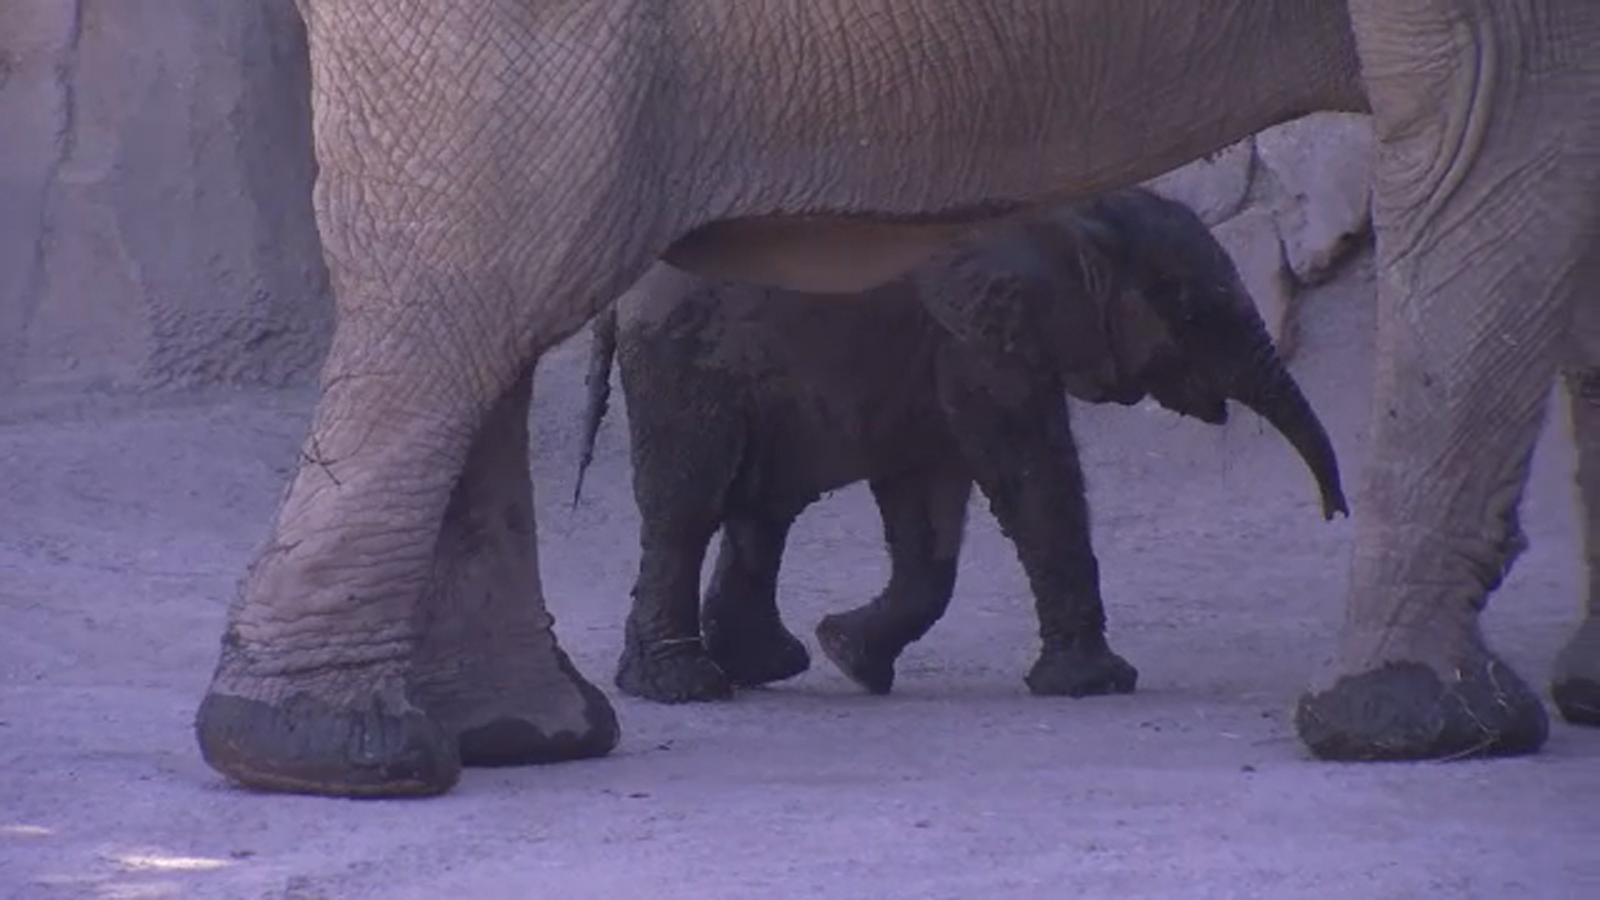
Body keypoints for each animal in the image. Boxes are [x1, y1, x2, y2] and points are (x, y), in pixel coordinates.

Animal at [579, 185, 1350, 704]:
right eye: (1191, 311)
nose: (1336, 512)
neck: (1075, 212)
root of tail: (618, 298)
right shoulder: (977, 336)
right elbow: (1029, 476)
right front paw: (1098, 686)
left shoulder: (939, 351)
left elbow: (929, 505)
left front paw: (851, 657)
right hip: (686, 361)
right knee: (689, 510)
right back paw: (684, 687)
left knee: (760, 511)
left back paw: (769, 668)